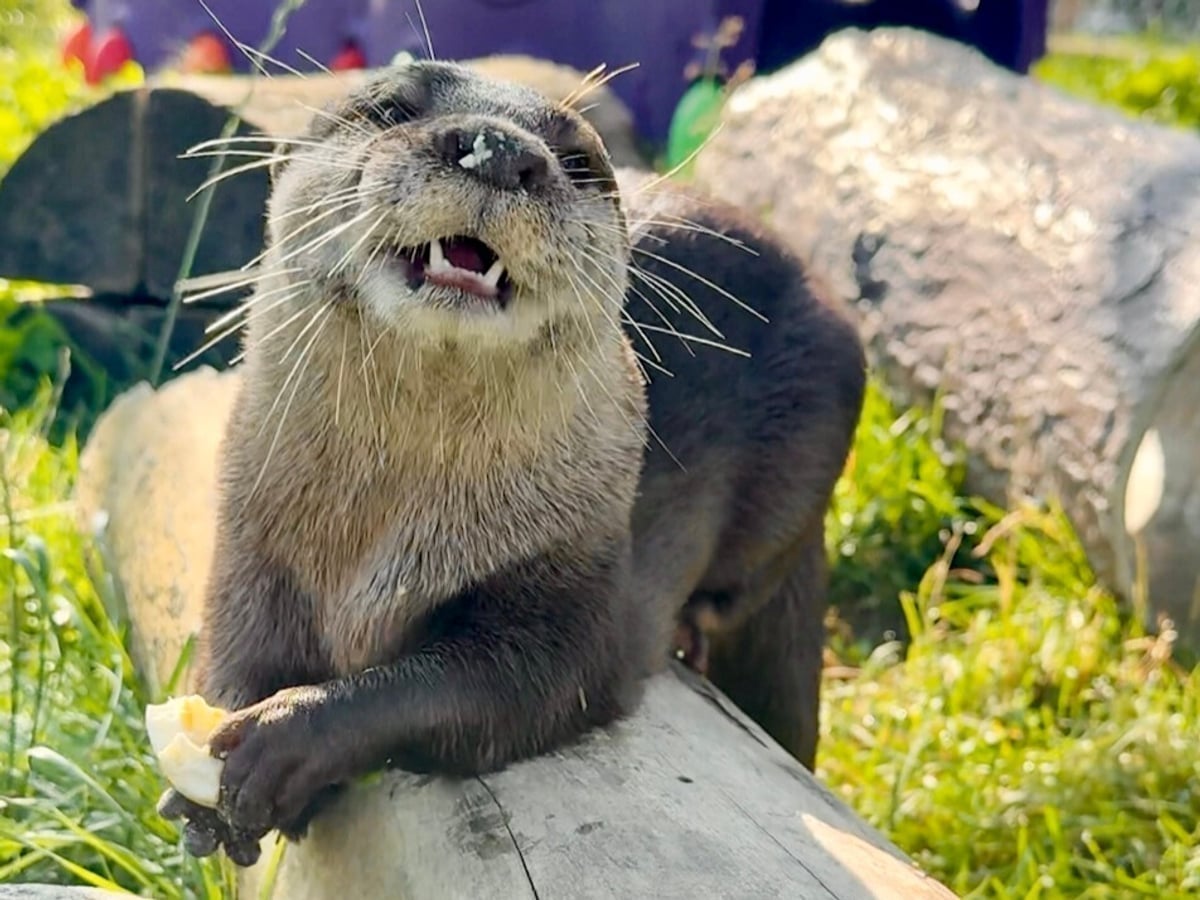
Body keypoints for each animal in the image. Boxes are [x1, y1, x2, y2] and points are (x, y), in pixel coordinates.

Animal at [158, 60, 866, 865]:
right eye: (390, 107)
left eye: (580, 158)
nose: (498, 150)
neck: (371, 539)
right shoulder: (252, 535)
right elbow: (237, 639)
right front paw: (207, 780)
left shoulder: (575, 572)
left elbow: (490, 681)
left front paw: (285, 741)